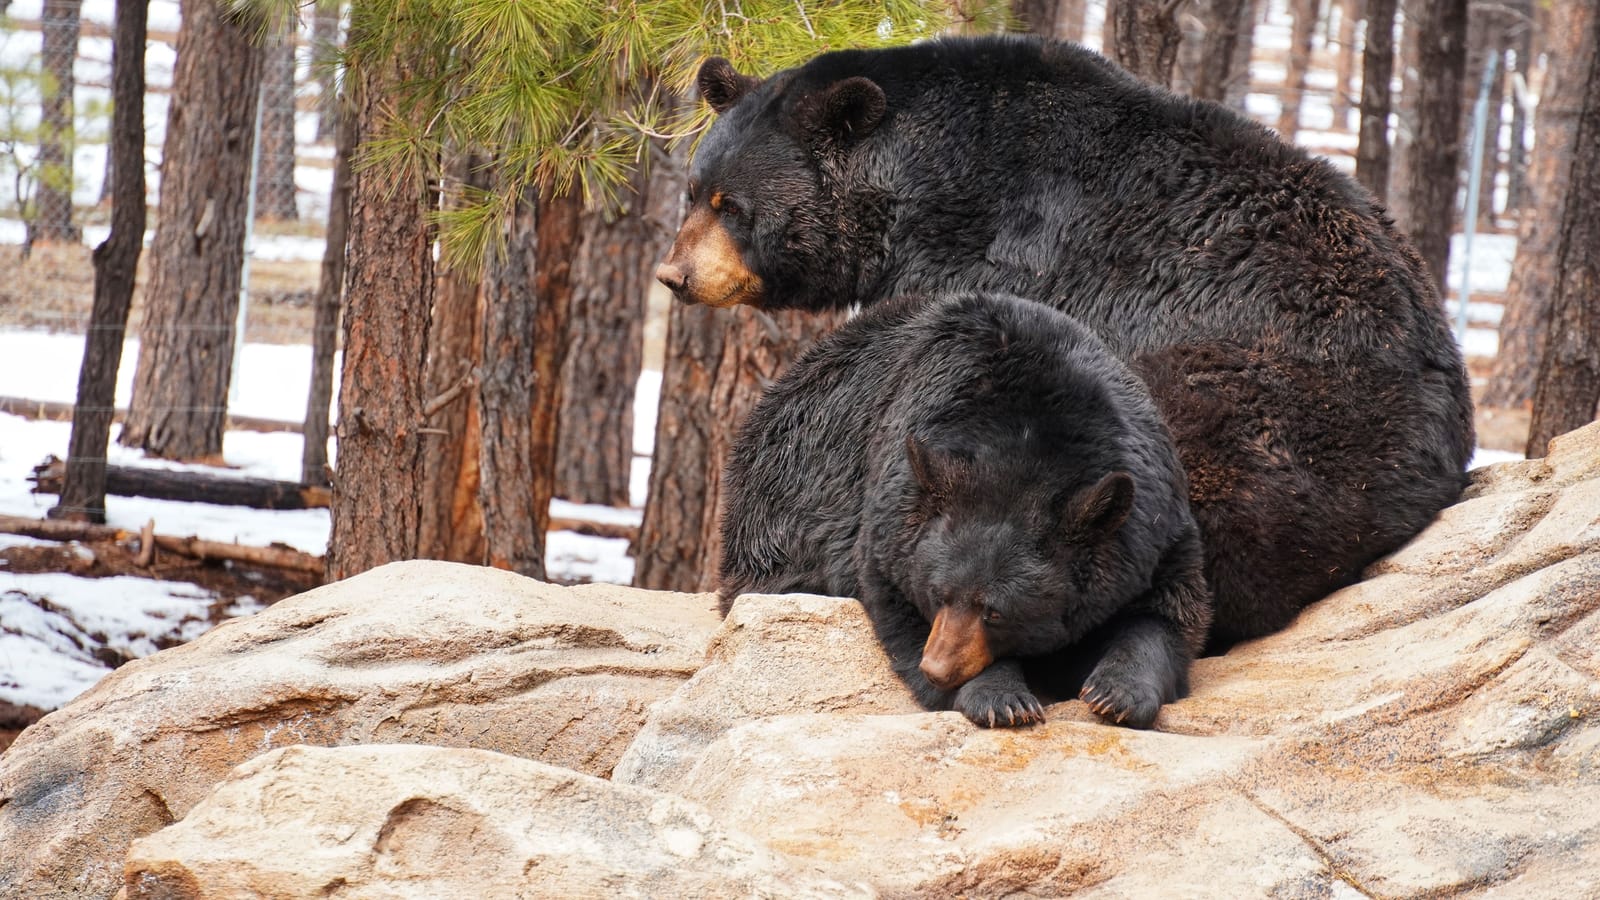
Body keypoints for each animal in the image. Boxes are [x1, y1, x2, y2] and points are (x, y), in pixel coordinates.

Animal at [662, 34, 1473, 649]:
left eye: (734, 205)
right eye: (694, 191)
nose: (675, 275)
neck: (921, 186)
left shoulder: (1000, 254)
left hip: (1263, 411)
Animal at [718, 291, 1212, 729]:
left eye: (995, 612)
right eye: (939, 594)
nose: (938, 668)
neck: (1026, 446)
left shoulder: (1155, 527)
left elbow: (1169, 613)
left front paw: (1118, 692)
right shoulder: (889, 512)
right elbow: (896, 603)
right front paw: (1000, 698)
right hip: (775, 520)